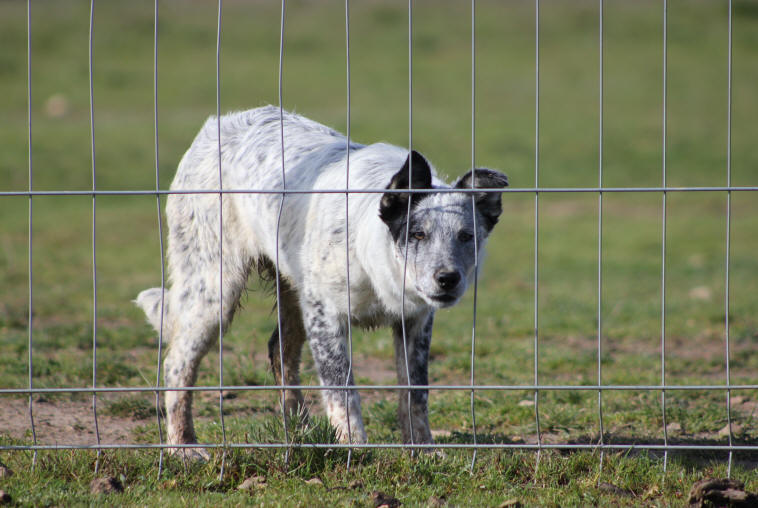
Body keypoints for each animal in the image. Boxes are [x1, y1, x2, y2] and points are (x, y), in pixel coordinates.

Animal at [135, 106, 510, 456]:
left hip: (291, 290)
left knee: (279, 350)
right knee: (177, 363)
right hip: (213, 293)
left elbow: (415, 394)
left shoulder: (415, 322)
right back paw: (183, 446)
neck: (372, 257)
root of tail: (218, 123)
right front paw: (357, 451)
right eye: (417, 234)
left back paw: (299, 434)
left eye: (467, 236)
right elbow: (343, 392)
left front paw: (423, 452)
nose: (448, 279)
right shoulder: (325, 316)